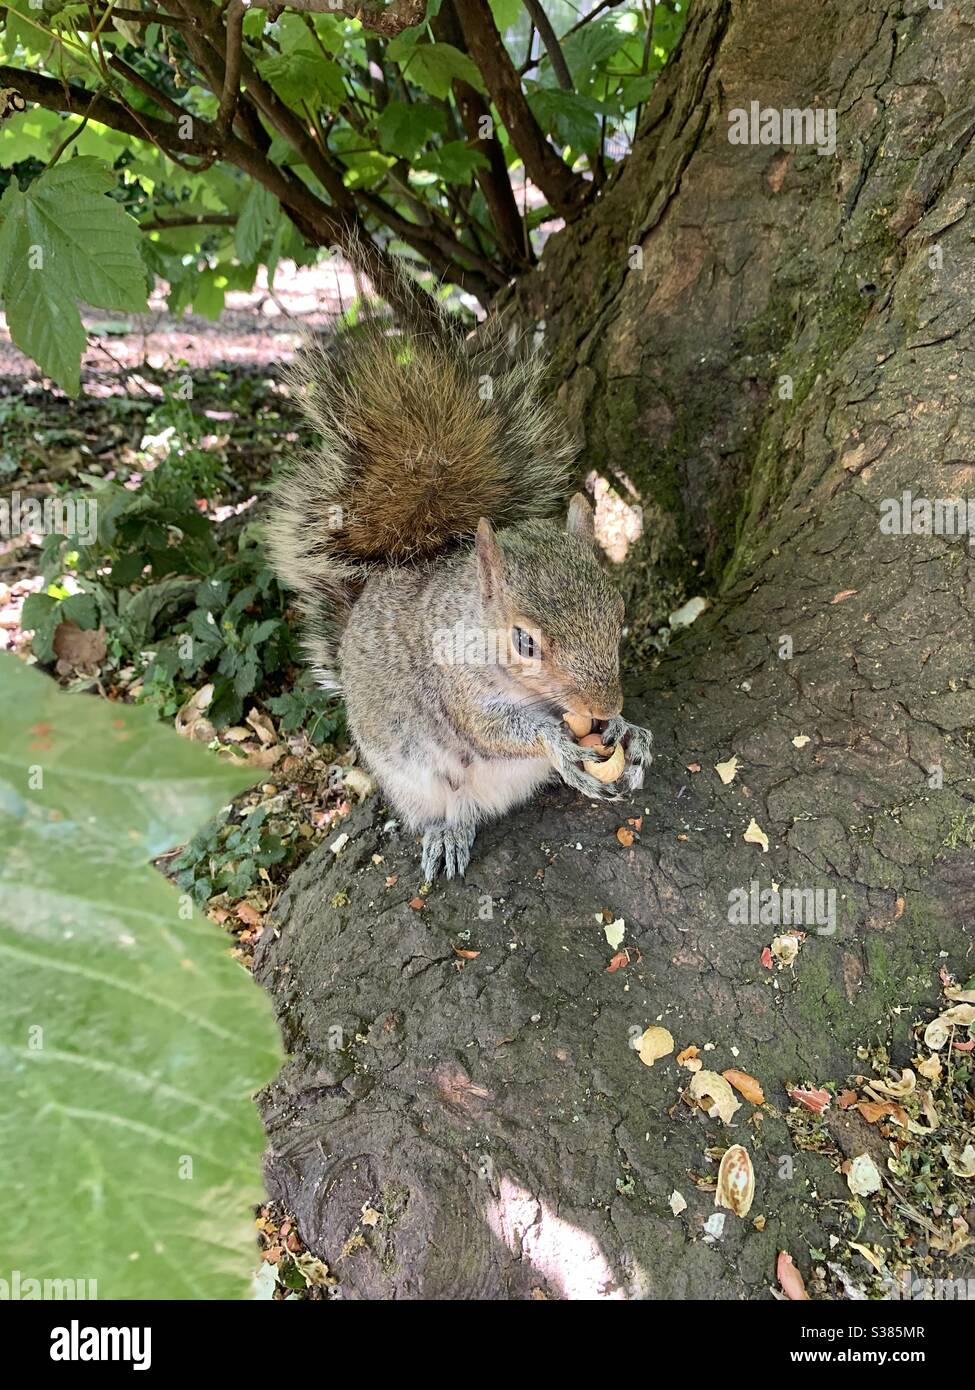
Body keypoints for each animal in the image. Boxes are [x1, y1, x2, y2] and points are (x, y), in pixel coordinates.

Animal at [268, 309, 652, 880]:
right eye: (525, 643)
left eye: (619, 616)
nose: (605, 706)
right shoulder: (456, 687)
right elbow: (492, 729)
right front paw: (559, 743)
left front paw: (628, 731)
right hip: (412, 780)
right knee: (447, 811)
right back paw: (449, 833)